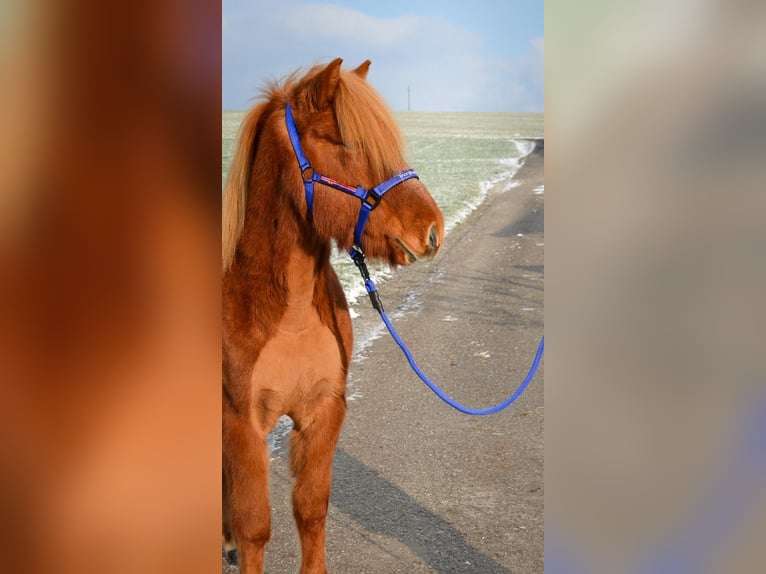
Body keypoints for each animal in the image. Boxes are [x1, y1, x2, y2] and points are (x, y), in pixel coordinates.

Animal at [222, 58, 445, 574]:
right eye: (342, 142)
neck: (287, 315)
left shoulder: (324, 412)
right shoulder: (242, 424)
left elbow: (310, 509)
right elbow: (254, 526)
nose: (433, 230)